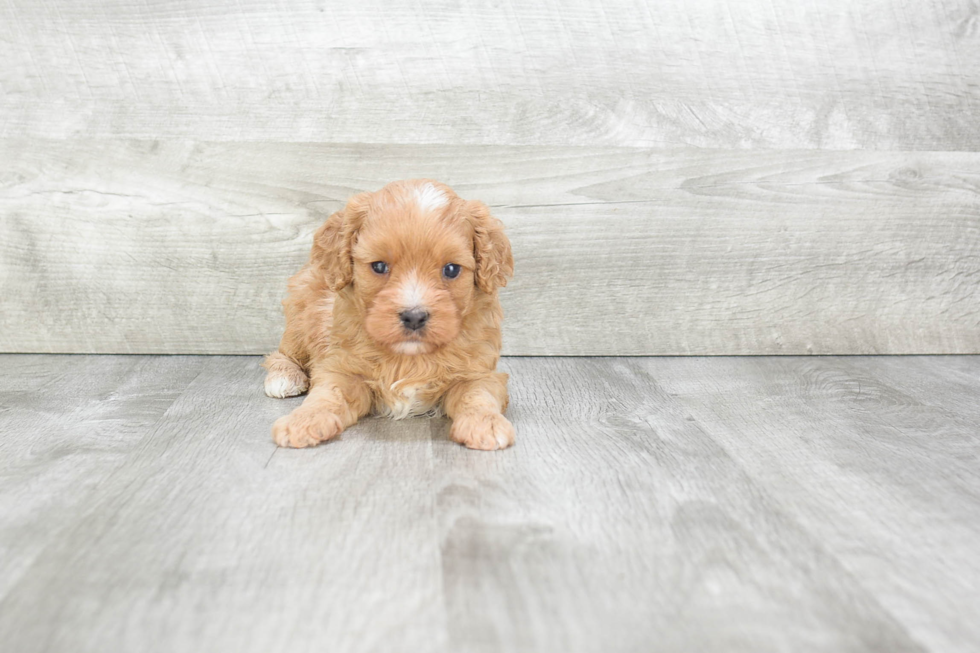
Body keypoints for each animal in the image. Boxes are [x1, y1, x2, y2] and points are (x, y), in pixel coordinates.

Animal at [264, 181, 516, 450]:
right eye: (379, 266)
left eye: (451, 269)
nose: (414, 317)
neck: (409, 356)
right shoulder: (342, 368)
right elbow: (327, 395)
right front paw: (303, 420)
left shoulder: (479, 372)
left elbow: (478, 395)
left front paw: (485, 423)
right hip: (301, 313)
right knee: (284, 352)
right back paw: (284, 377)